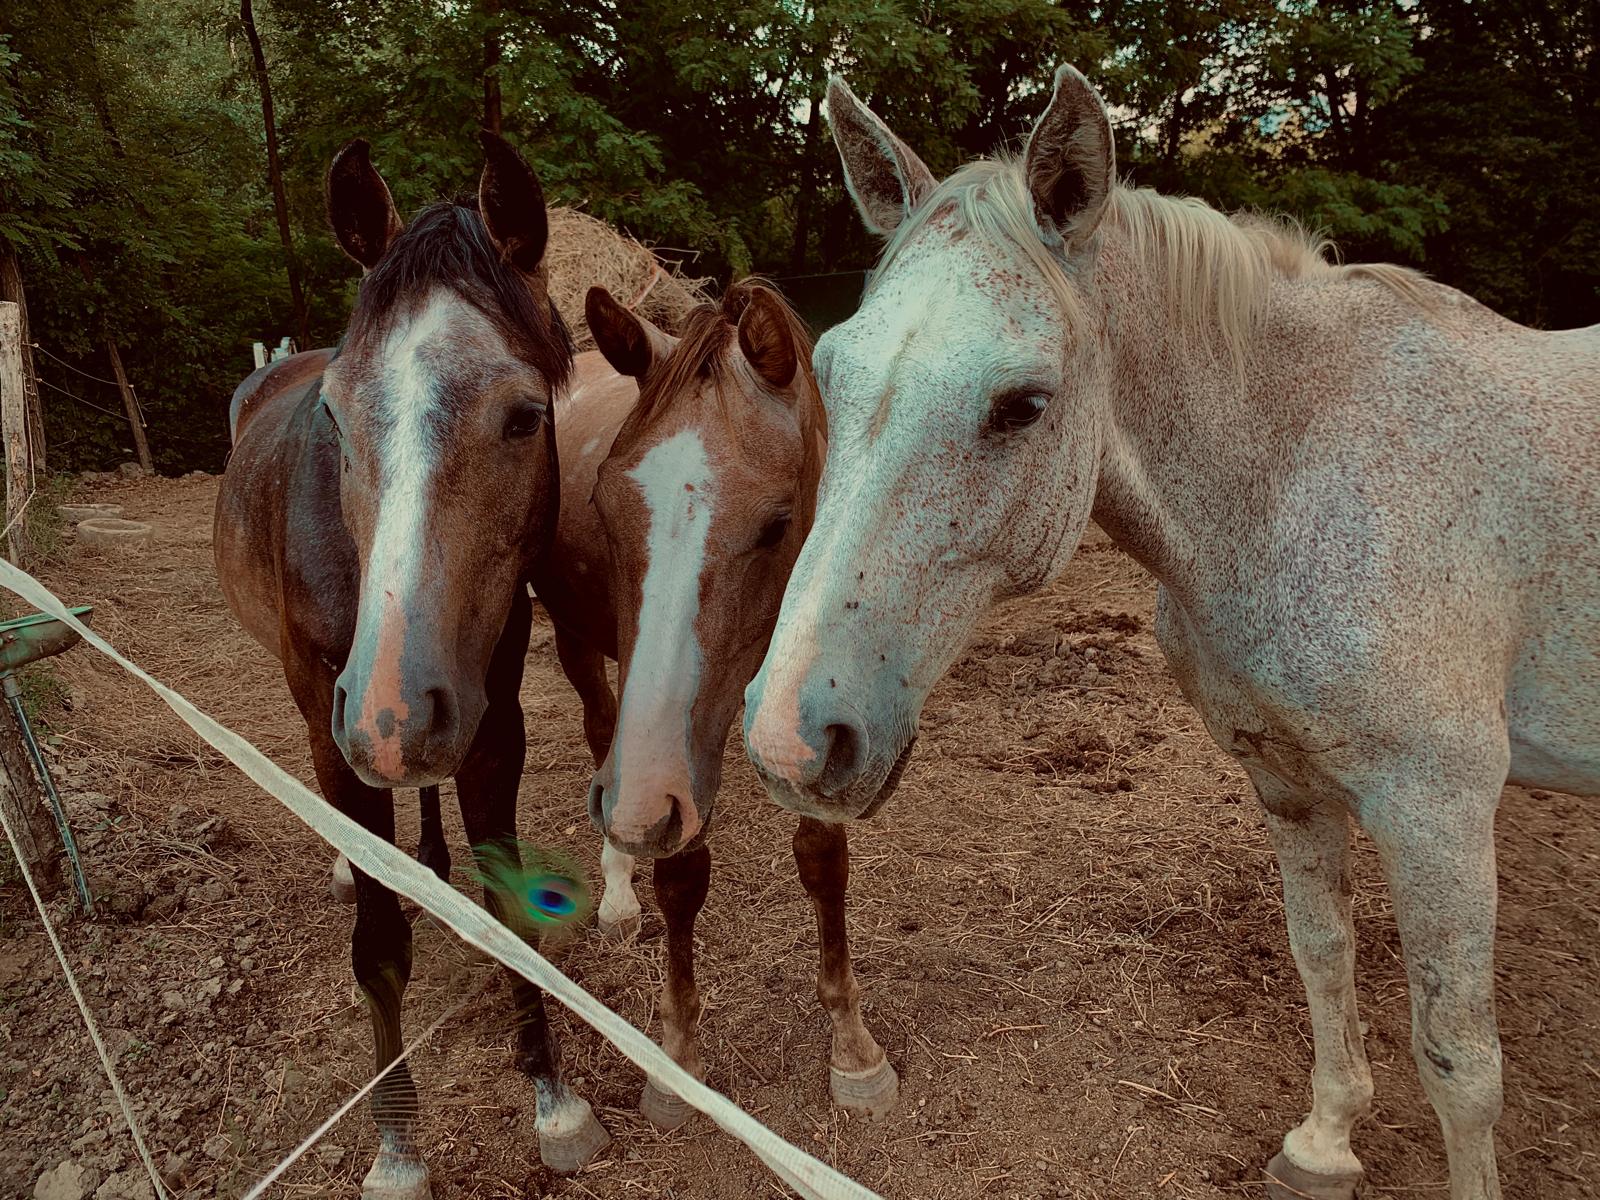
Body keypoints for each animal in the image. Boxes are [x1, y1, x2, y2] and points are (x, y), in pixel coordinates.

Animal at [213, 133, 611, 1197]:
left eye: (525, 417)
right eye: (337, 418)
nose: (389, 716)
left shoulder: (493, 718)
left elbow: (511, 911)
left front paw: (554, 1101)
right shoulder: (334, 722)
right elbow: (380, 947)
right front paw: (398, 1147)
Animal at [527, 279, 898, 1125]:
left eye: (778, 523)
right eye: (603, 507)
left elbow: (824, 860)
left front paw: (852, 1046)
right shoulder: (664, 769)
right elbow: (680, 877)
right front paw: (675, 1061)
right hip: (580, 650)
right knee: (602, 729)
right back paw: (618, 894)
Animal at [743, 65, 1599, 1200]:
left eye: (1022, 405)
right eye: (831, 371)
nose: (790, 741)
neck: (1293, 477)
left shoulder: (1441, 810)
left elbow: (1460, 1062)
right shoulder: (1286, 781)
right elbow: (1321, 956)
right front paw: (1323, 1145)